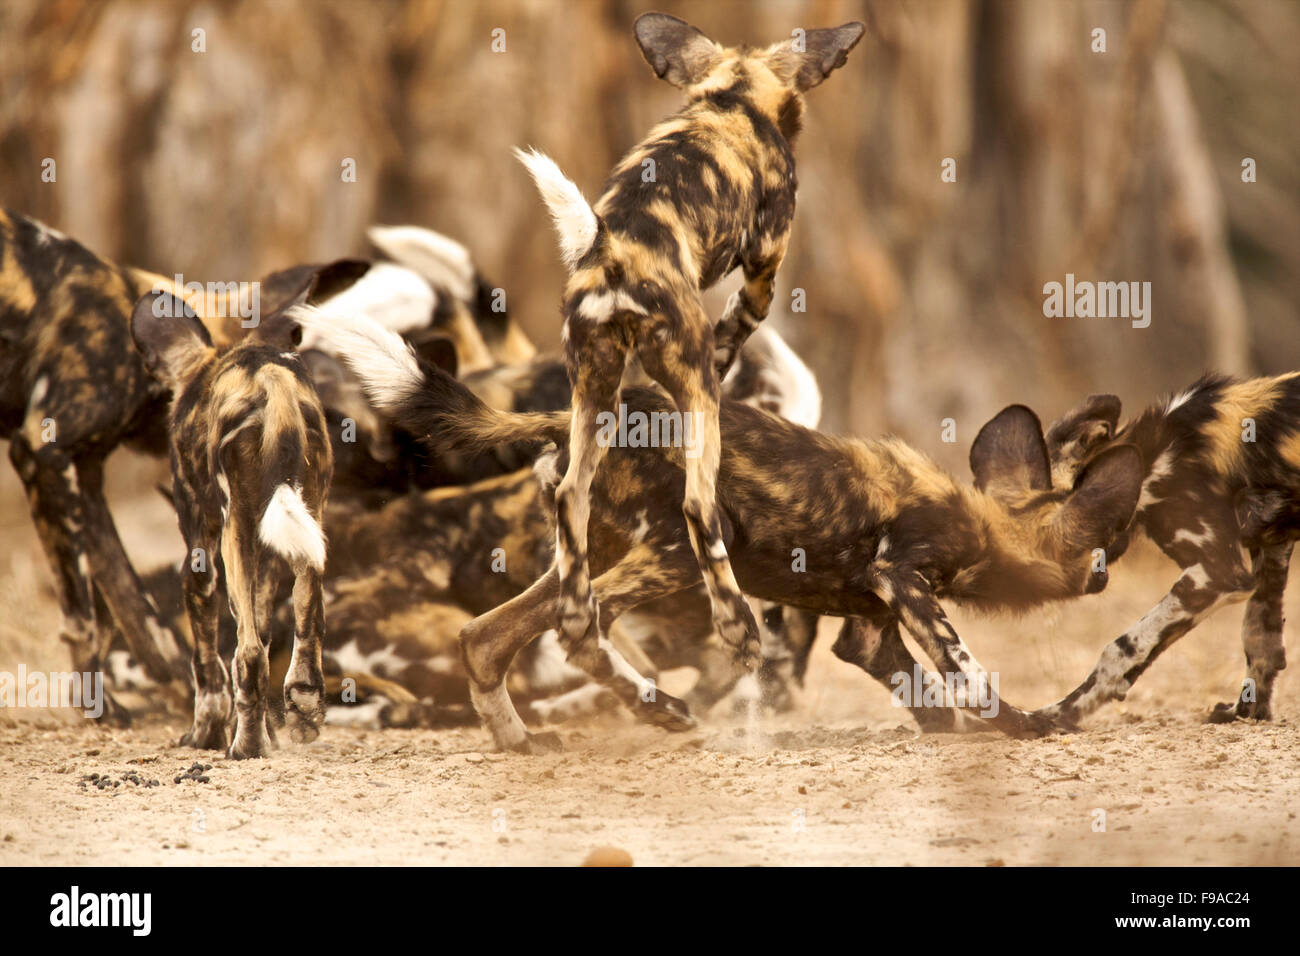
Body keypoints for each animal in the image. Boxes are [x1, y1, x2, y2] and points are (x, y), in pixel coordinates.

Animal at [130, 287, 332, 759]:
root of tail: (270, 377)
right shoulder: (272, 550)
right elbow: (263, 625)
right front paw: (271, 733)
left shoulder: (200, 552)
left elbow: (207, 665)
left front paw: (204, 735)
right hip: (306, 521)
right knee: (306, 618)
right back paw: (301, 708)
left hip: (233, 529)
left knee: (249, 657)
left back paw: (244, 749)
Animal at [512, 13, 868, 686]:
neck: (732, 97)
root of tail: (612, 254)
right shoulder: (762, 272)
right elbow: (739, 326)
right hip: (696, 396)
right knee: (699, 506)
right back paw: (738, 631)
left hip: (593, 395)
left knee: (571, 495)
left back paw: (576, 616)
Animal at [1034, 371, 1300, 723]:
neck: (1152, 462)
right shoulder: (1271, 547)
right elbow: (1259, 637)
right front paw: (1247, 712)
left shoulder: (1216, 574)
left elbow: (1121, 649)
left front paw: (1056, 714)